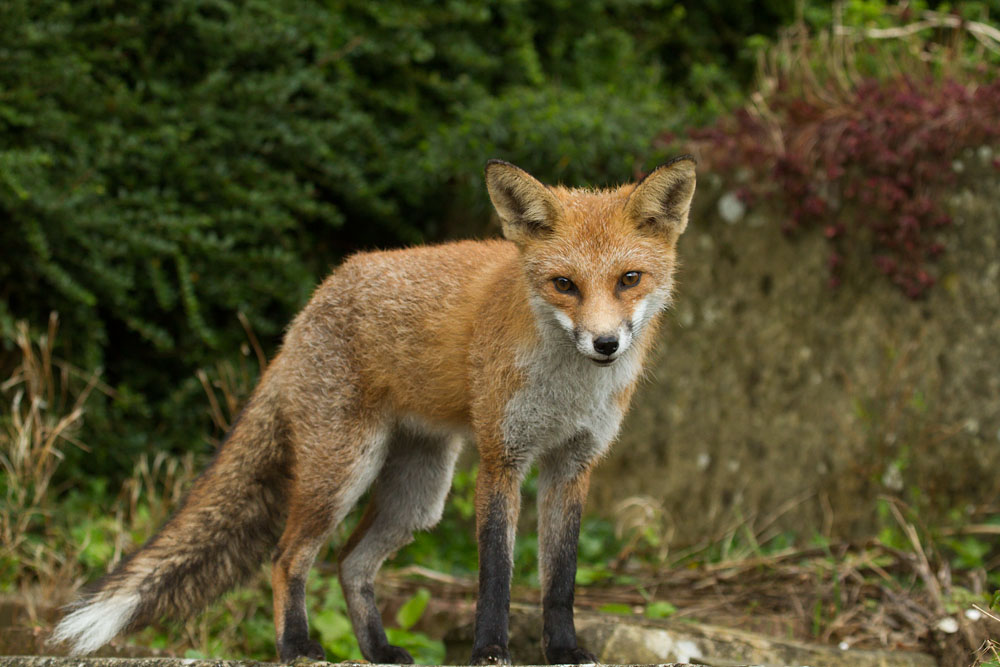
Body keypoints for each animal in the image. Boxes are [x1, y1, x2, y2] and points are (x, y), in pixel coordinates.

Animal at [52, 156, 696, 665]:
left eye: (629, 279)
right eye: (565, 284)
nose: (605, 344)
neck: (568, 390)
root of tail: (312, 302)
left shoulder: (572, 465)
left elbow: (560, 579)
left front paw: (562, 650)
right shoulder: (502, 459)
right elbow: (495, 573)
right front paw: (490, 651)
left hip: (419, 494)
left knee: (350, 564)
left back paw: (378, 650)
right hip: (344, 471)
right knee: (289, 557)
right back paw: (297, 647)